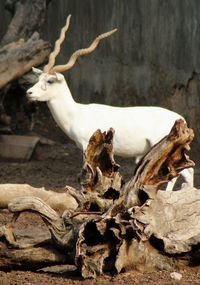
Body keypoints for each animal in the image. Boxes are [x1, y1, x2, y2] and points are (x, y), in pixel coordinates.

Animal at [26, 14, 194, 190]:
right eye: (38, 78)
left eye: (50, 80)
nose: (28, 93)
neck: (77, 113)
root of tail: (181, 118)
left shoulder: (86, 147)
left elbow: (88, 173)